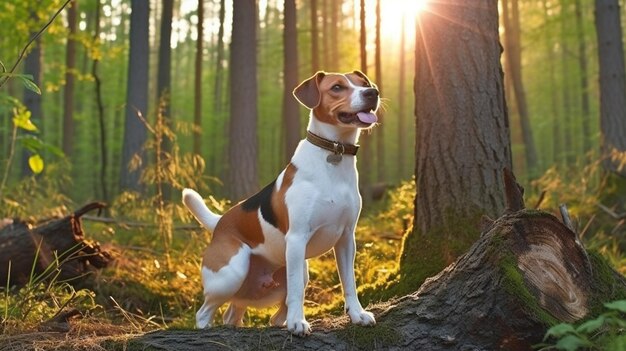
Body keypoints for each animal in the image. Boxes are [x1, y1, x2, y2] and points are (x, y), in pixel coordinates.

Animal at [183, 70, 378, 336]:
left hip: (287, 274)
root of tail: (220, 222)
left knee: (244, 314)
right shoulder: (296, 238)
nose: (373, 93)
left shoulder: (347, 239)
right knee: (204, 313)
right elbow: (295, 291)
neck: (334, 154)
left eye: (364, 84)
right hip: (232, 273)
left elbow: (349, 282)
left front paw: (357, 314)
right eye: (337, 87)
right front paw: (297, 322)